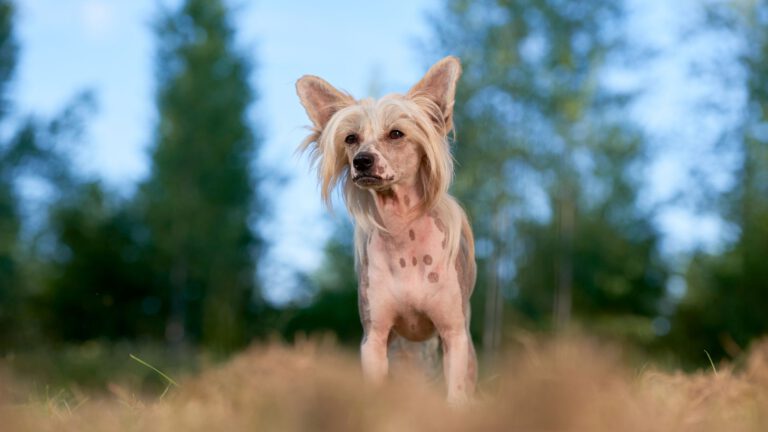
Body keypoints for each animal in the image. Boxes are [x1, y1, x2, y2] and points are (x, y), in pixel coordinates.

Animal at [294, 55, 474, 404]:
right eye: (350, 138)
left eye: (396, 134)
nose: (362, 161)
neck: (404, 235)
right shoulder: (374, 339)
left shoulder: (455, 335)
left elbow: (458, 395)